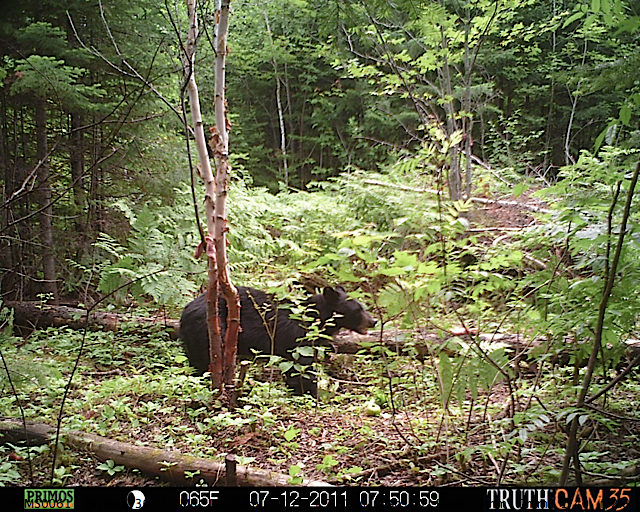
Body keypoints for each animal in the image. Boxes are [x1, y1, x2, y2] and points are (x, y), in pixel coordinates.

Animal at [180, 286, 376, 394]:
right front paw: (311, 393)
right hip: (209, 330)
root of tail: (185, 310)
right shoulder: (298, 339)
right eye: (357, 310)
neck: (314, 318)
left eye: (363, 306)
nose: (373, 321)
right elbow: (302, 369)